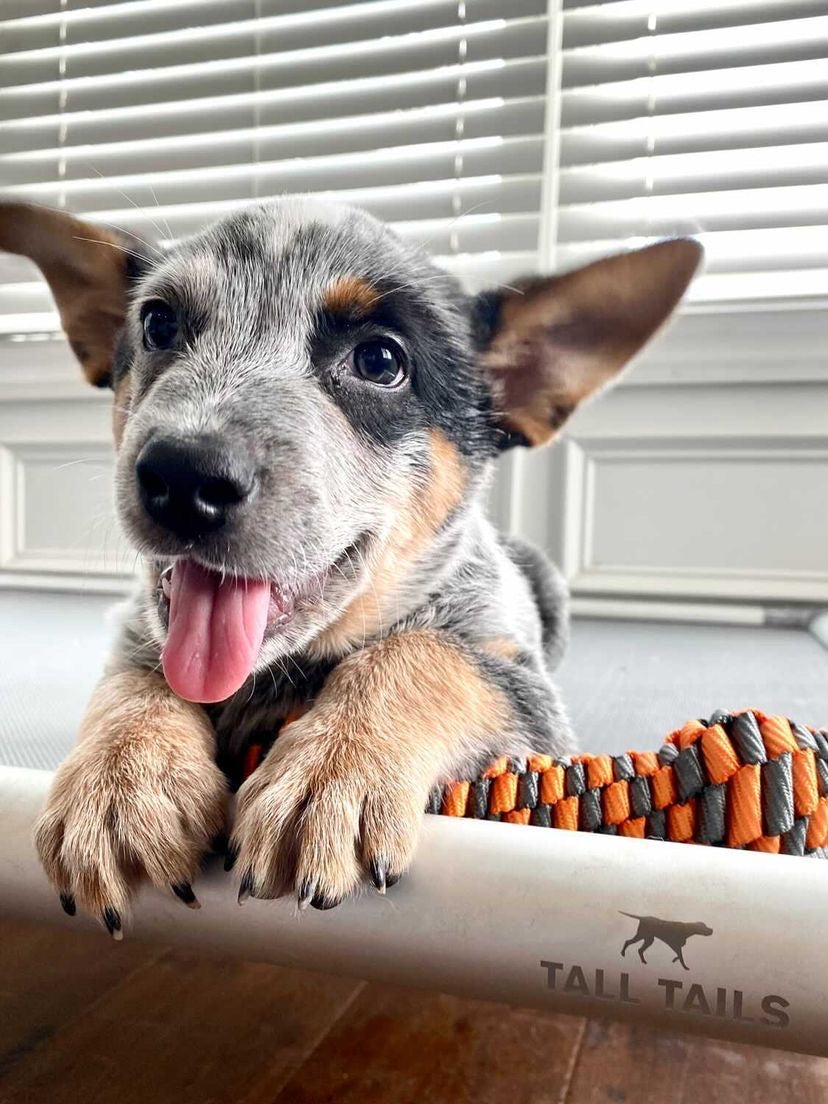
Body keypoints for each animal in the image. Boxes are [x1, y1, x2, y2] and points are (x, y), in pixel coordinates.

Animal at [0, 198, 702, 931]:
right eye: (159, 323)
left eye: (381, 359)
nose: (183, 478)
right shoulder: (139, 630)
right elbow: (136, 678)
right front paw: (120, 781)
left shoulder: (530, 699)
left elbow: (422, 652)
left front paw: (333, 771)